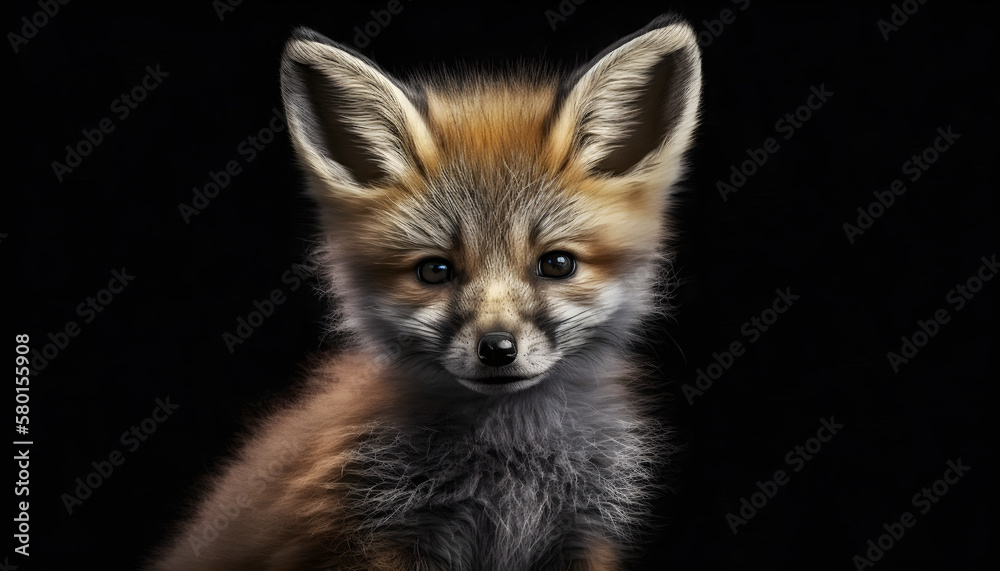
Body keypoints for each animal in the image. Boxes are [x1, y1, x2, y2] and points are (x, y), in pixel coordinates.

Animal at [151, 13, 702, 571]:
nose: (497, 350)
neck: (509, 468)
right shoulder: (377, 536)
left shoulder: (582, 536)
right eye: (435, 271)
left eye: (557, 264)